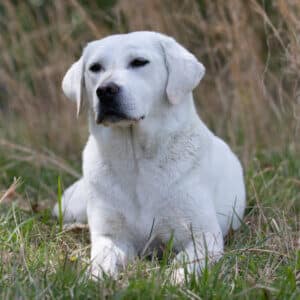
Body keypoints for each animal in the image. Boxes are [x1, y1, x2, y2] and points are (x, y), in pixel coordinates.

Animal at [53, 31, 246, 282]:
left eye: (139, 62)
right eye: (95, 68)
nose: (105, 90)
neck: (136, 161)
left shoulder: (204, 236)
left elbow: (183, 266)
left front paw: (173, 281)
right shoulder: (111, 236)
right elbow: (101, 260)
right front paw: (94, 279)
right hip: (70, 206)